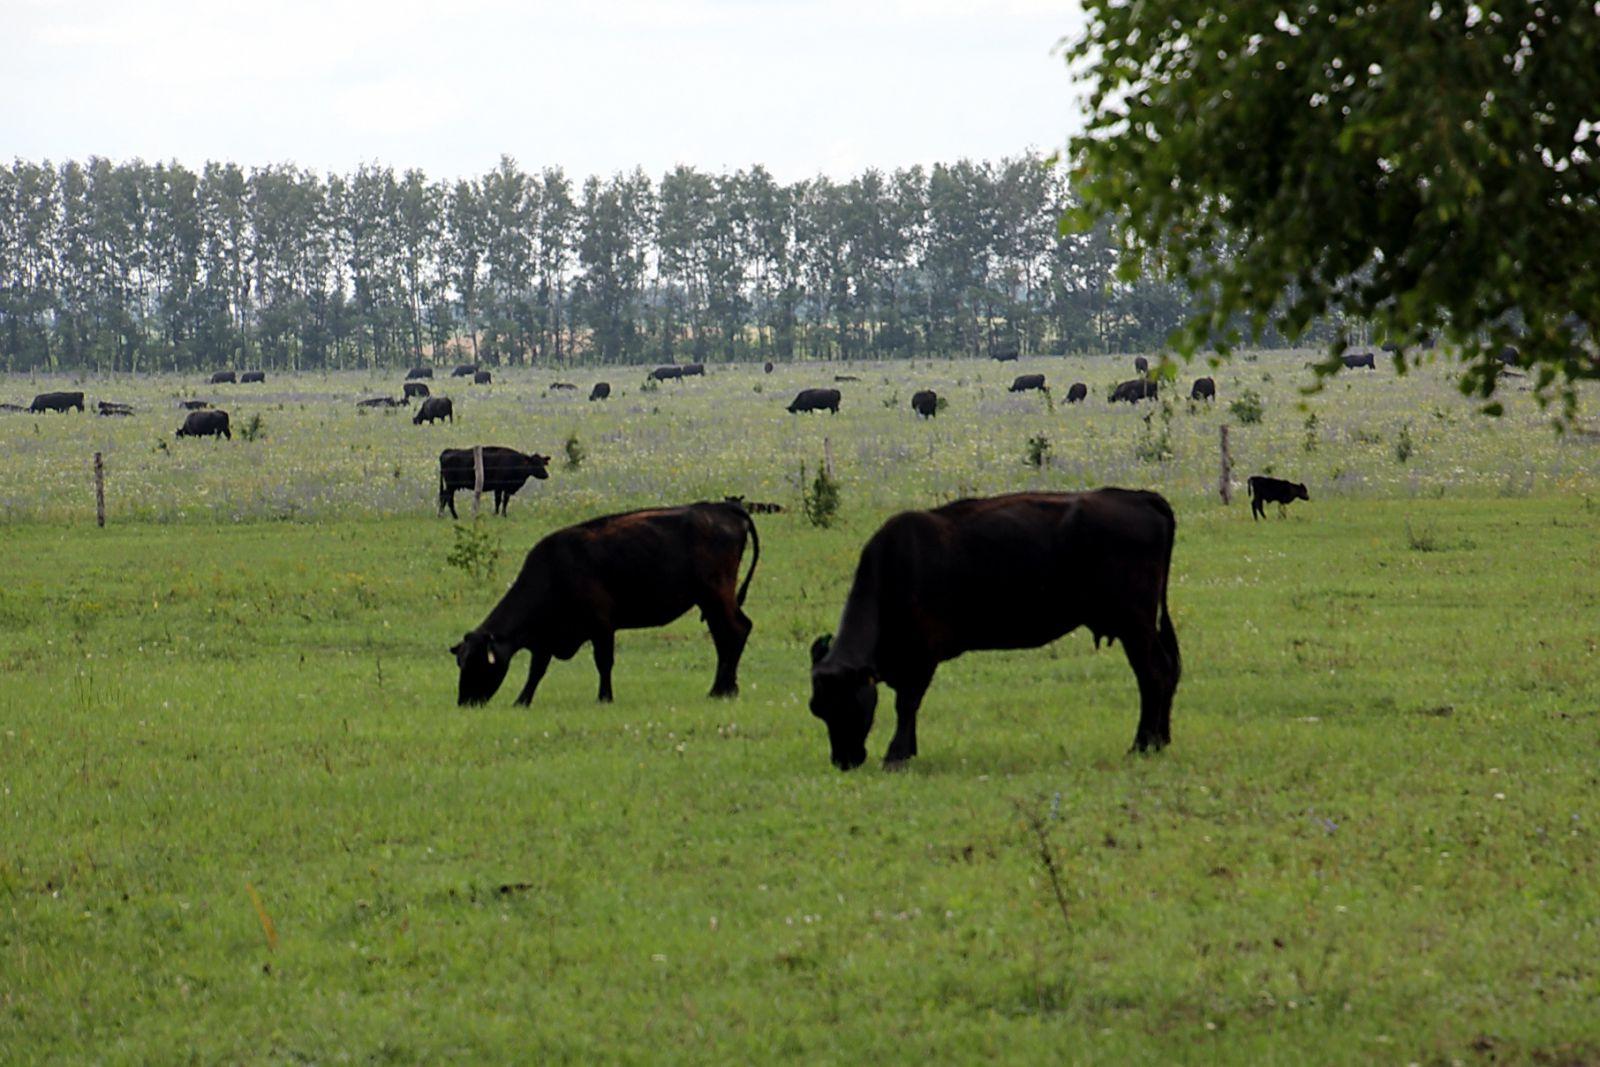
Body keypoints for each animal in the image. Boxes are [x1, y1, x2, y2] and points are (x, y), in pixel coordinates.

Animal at [444, 502, 755, 710]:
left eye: (477, 663)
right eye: (460, 662)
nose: (465, 702)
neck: (554, 570)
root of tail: (721, 508)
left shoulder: (602, 627)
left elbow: (603, 663)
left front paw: (605, 697)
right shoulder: (546, 638)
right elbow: (536, 671)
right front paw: (522, 701)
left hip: (716, 595)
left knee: (735, 632)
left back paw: (722, 690)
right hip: (712, 602)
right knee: (726, 636)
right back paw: (725, 689)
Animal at [812, 489, 1177, 771]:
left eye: (848, 702)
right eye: (818, 708)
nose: (843, 761)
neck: (896, 570)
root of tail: (1140, 497)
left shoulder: (921, 661)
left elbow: (906, 706)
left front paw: (896, 756)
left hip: (1135, 627)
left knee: (1153, 674)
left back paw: (1142, 745)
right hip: (1143, 627)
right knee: (1168, 671)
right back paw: (1160, 741)